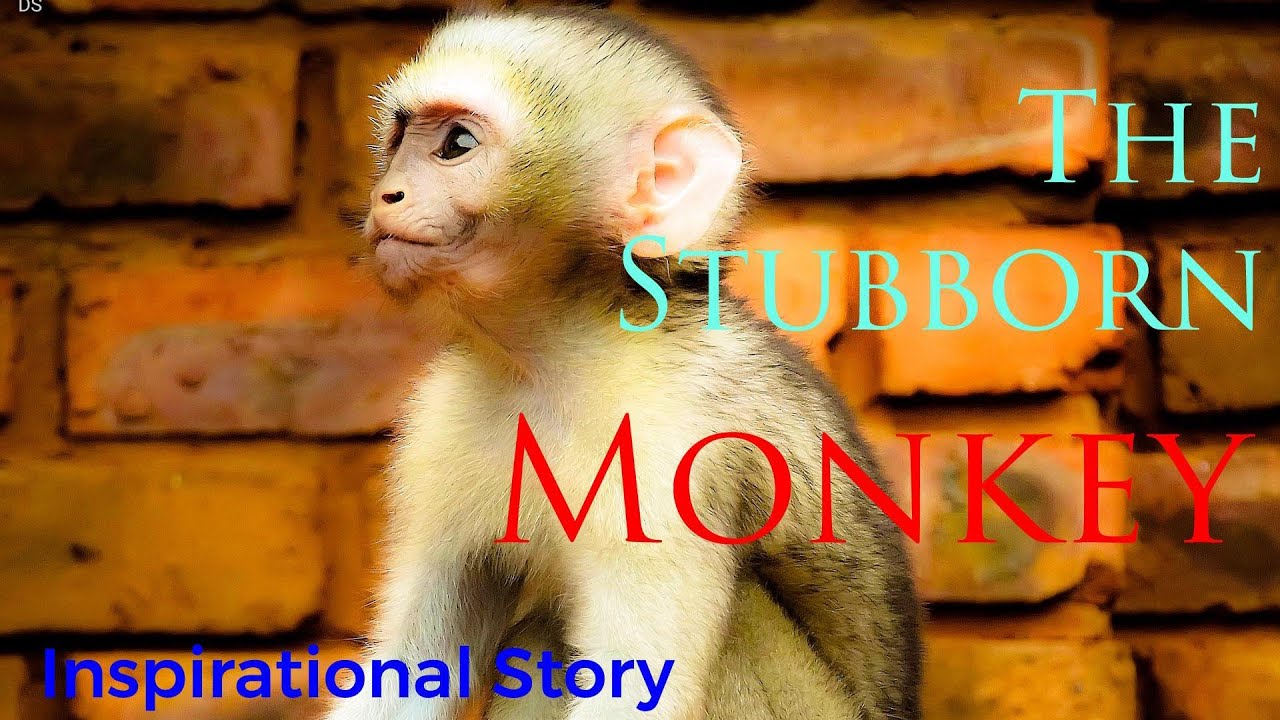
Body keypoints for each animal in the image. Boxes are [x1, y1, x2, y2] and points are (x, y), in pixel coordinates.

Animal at [329, 7, 921, 720]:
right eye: (399, 139)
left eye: (456, 144)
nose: (387, 193)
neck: (560, 354)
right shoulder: (441, 419)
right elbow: (411, 670)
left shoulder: (669, 448)